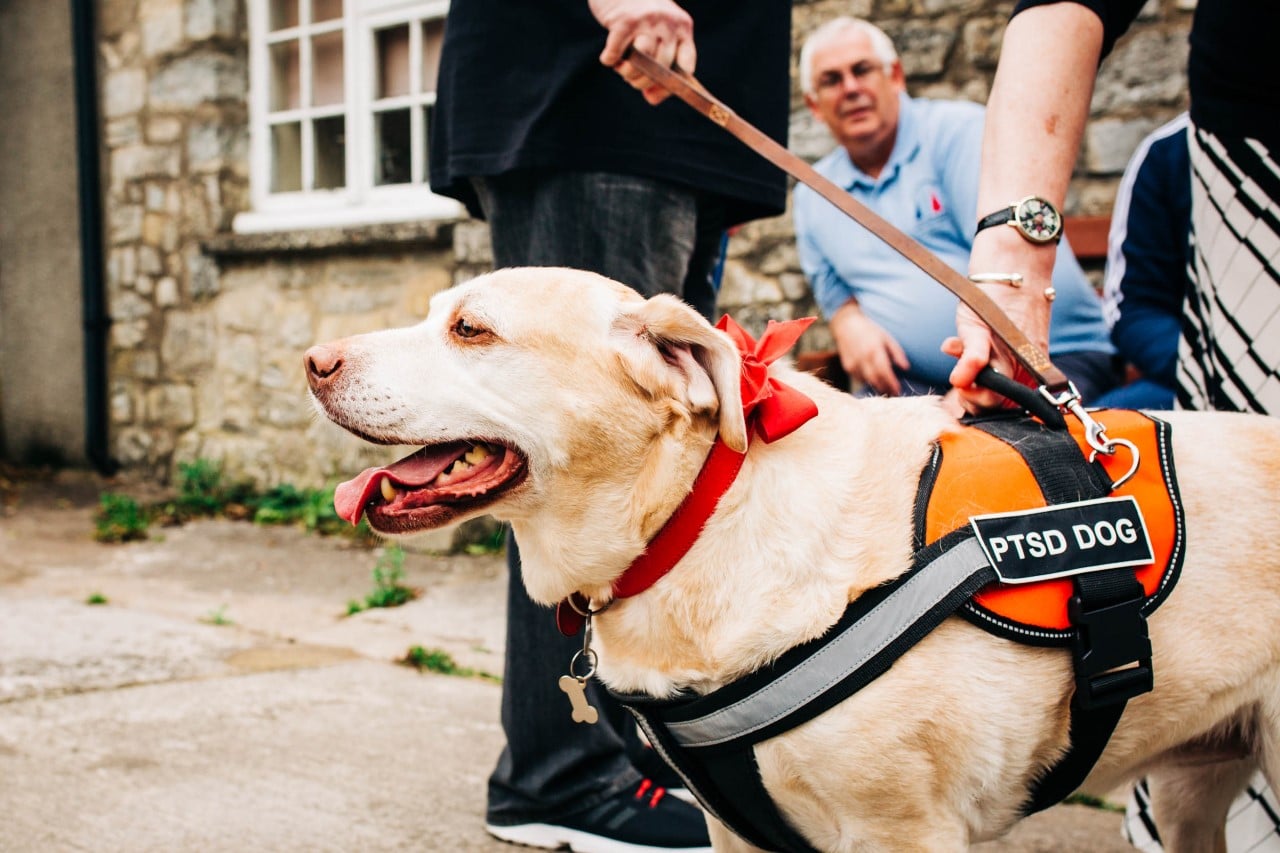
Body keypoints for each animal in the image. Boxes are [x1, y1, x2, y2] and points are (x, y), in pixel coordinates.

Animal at [307, 266, 1280, 850]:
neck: (693, 525)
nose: (312, 359)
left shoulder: (906, 833)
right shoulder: (739, 829)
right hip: (1196, 786)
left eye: (471, 330)